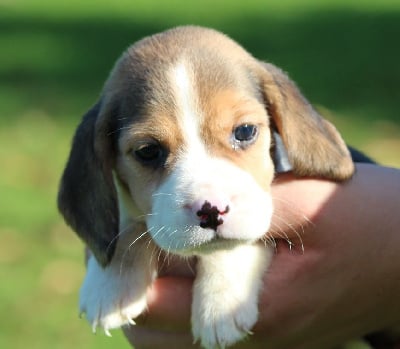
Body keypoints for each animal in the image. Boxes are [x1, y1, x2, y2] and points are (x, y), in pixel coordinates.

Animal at [57, 25, 370, 346]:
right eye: (148, 151)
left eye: (245, 131)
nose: (210, 211)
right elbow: (126, 223)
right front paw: (109, 284)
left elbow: (237, 243)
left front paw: (220, 305)